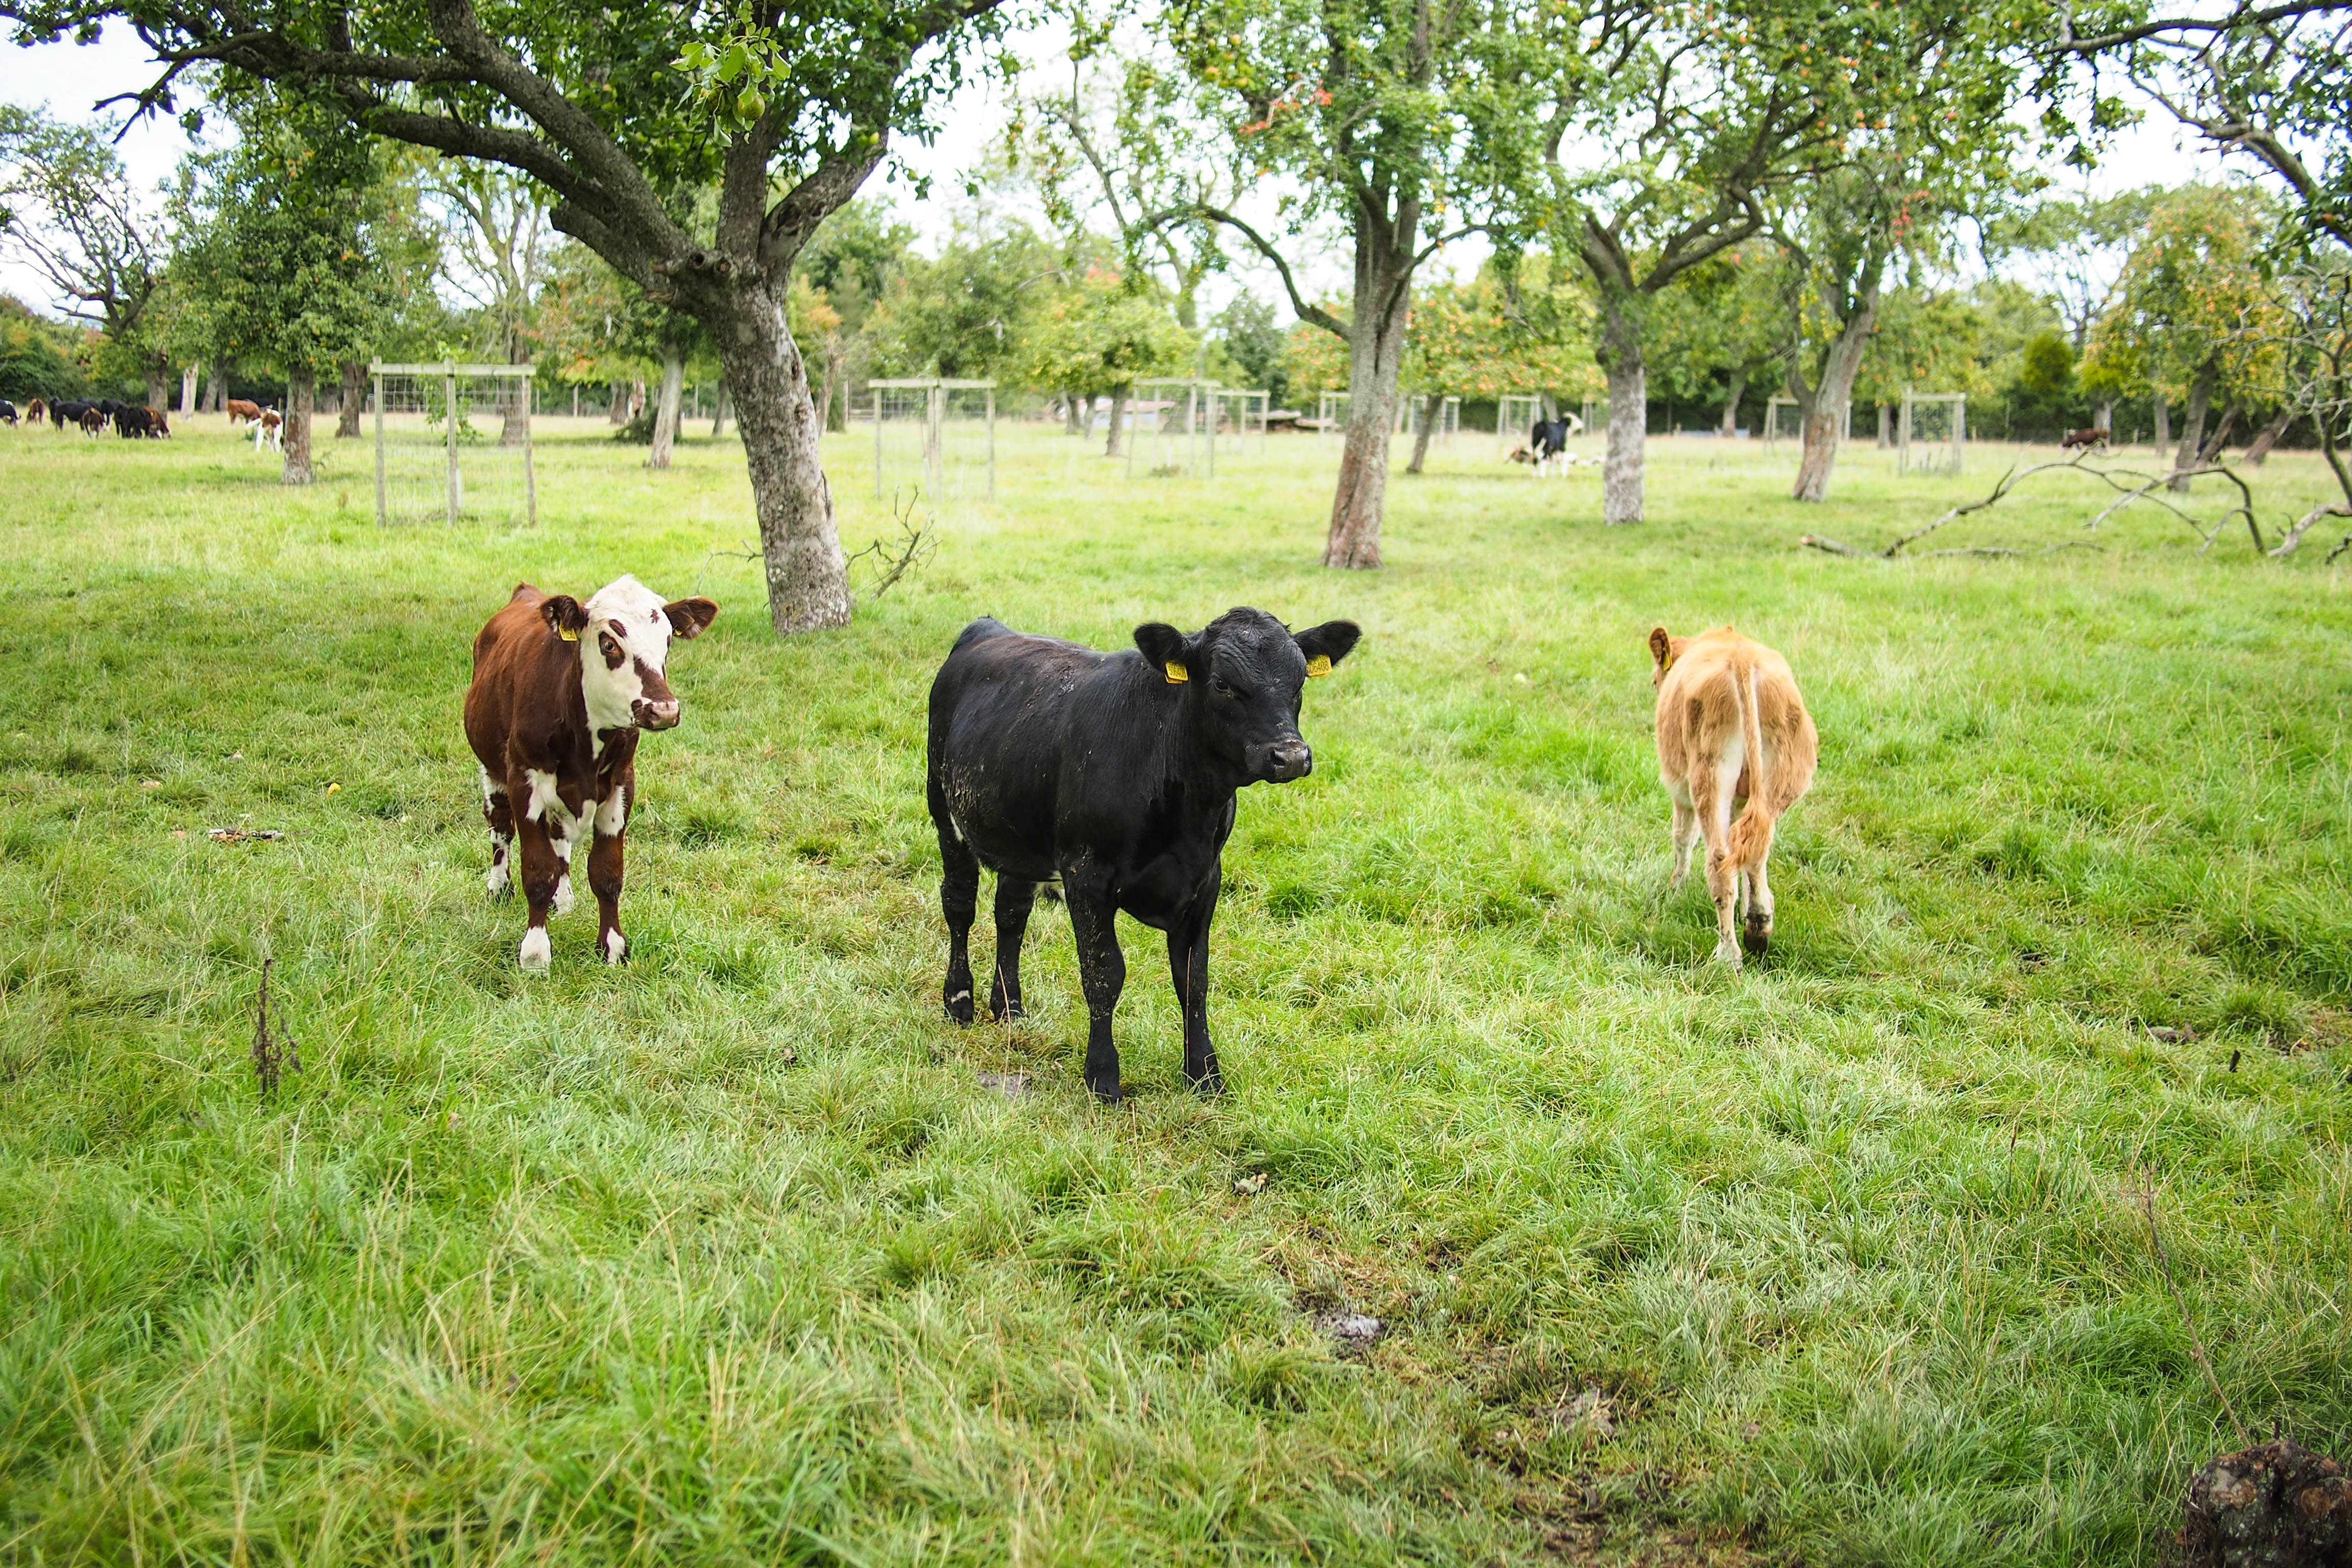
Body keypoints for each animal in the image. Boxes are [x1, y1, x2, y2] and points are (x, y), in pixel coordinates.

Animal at [458, 576, 715, 968]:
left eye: (668, 641)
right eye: (609, 643)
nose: (664, 710)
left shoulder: (621, 784)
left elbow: (606, 873)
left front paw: (612, 947)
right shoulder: (524, 779)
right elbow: (538, 869)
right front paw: (535, 953)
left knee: (559, 838)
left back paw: (562, 899)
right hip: (492, 767)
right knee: (500, 827)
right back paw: (499, 887)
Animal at [917, 606, 1364, 1100]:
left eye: (1300, 680)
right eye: (1222, 684)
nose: (1291, 756)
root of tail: (988, 627)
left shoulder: (1206, 879)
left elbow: (1193, 979)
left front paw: (1204, 1074)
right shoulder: (1086, 873)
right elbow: (1104, 974)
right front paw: (1103, 1076)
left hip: (1020, 833)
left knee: (1011, 913)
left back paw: (1010, 1008)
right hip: (944, 808)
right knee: (960, 905)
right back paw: (959, 1001)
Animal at [1656, 620, 1816, 968]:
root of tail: (1743, 660)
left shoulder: (1680, 793)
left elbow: (1683, 839)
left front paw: (1675, 889)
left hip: (1709, 776)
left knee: (1719, 862)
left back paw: (1728, 956)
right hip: (1774, 783)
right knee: (1757, 847)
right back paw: (1758, 925)